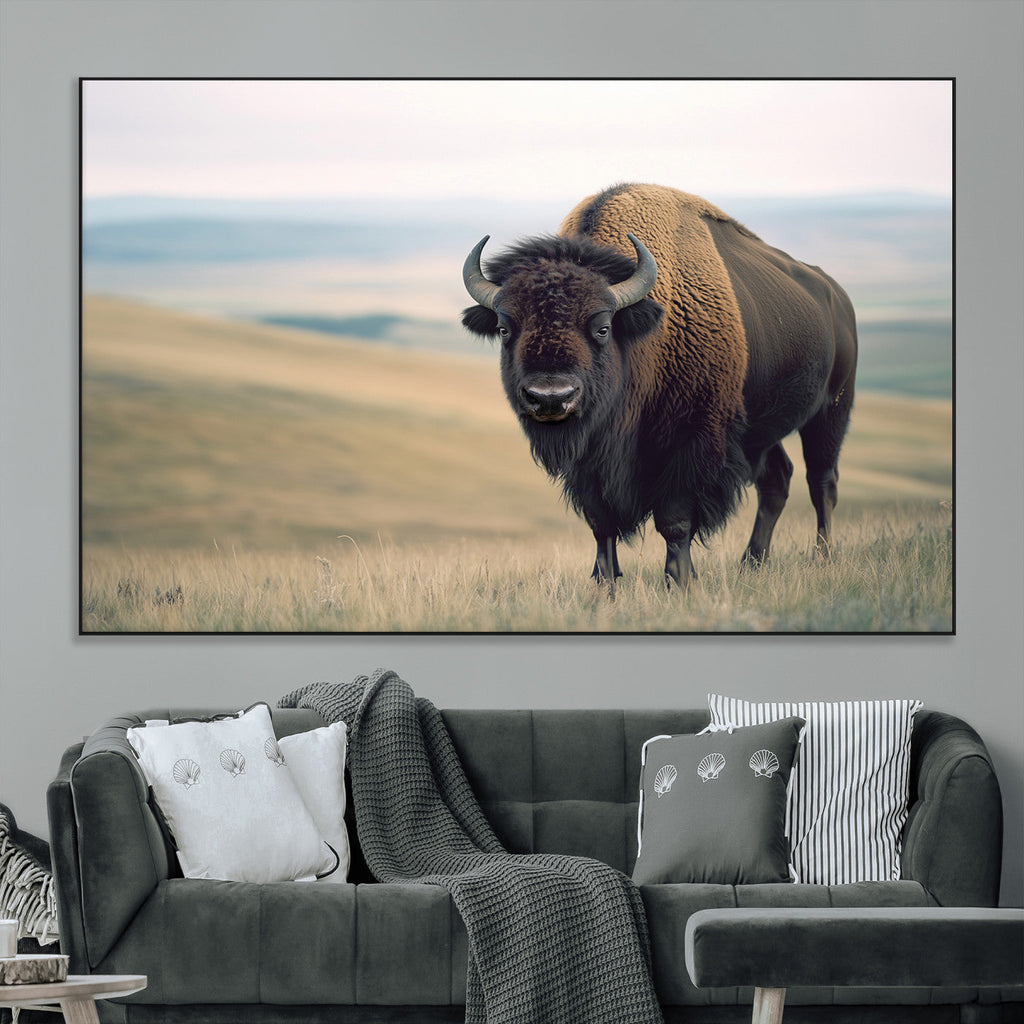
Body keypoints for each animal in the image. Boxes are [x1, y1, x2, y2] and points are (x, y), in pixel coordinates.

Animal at [461, 183, 858, 590]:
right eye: (504, 328)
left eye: (602, 327)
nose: (551, 398)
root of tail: (837, 297)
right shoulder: (589, 464)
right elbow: (601, 522)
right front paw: (604, 582)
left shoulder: (691, 441)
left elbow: (675, 520)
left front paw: (679, 580)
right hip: (759, 431)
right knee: (777, 481)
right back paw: (752, 563)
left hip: (831, 410)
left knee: (822, 482)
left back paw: (822, 558)